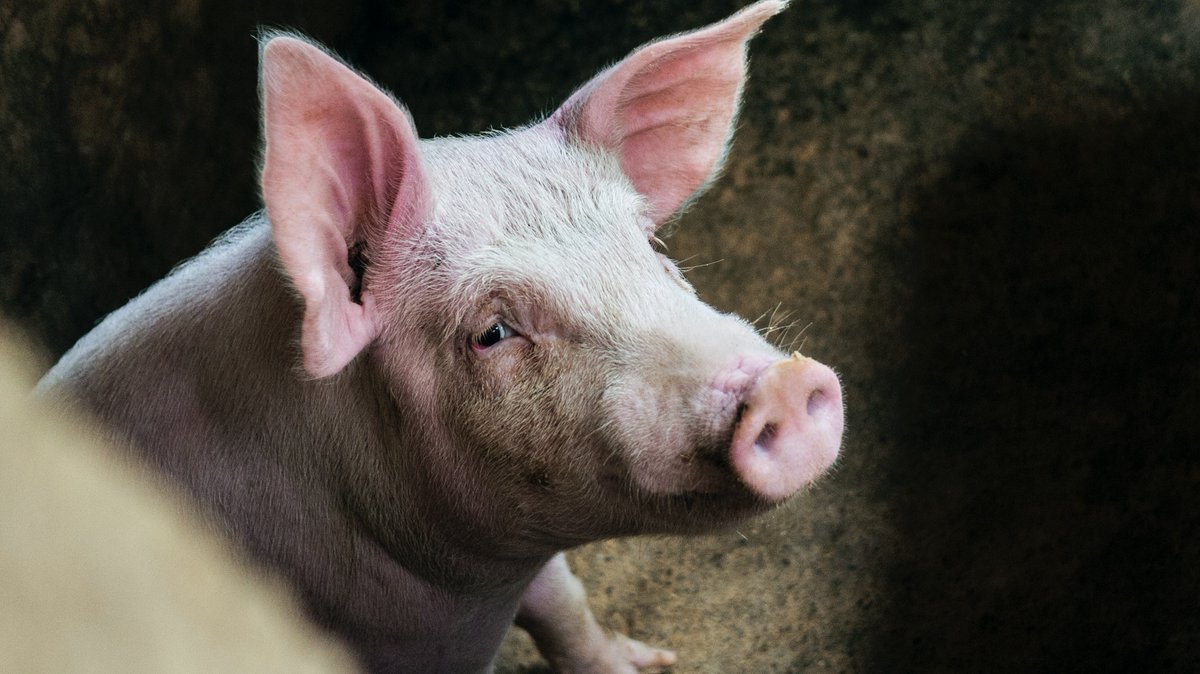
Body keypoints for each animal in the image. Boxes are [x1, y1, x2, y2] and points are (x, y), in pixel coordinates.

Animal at [38, 1, 843, 671]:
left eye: (651, 246)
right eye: (492, 332)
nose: (785, 383)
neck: (468, 595)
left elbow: (564, 602)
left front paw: (653, 663)